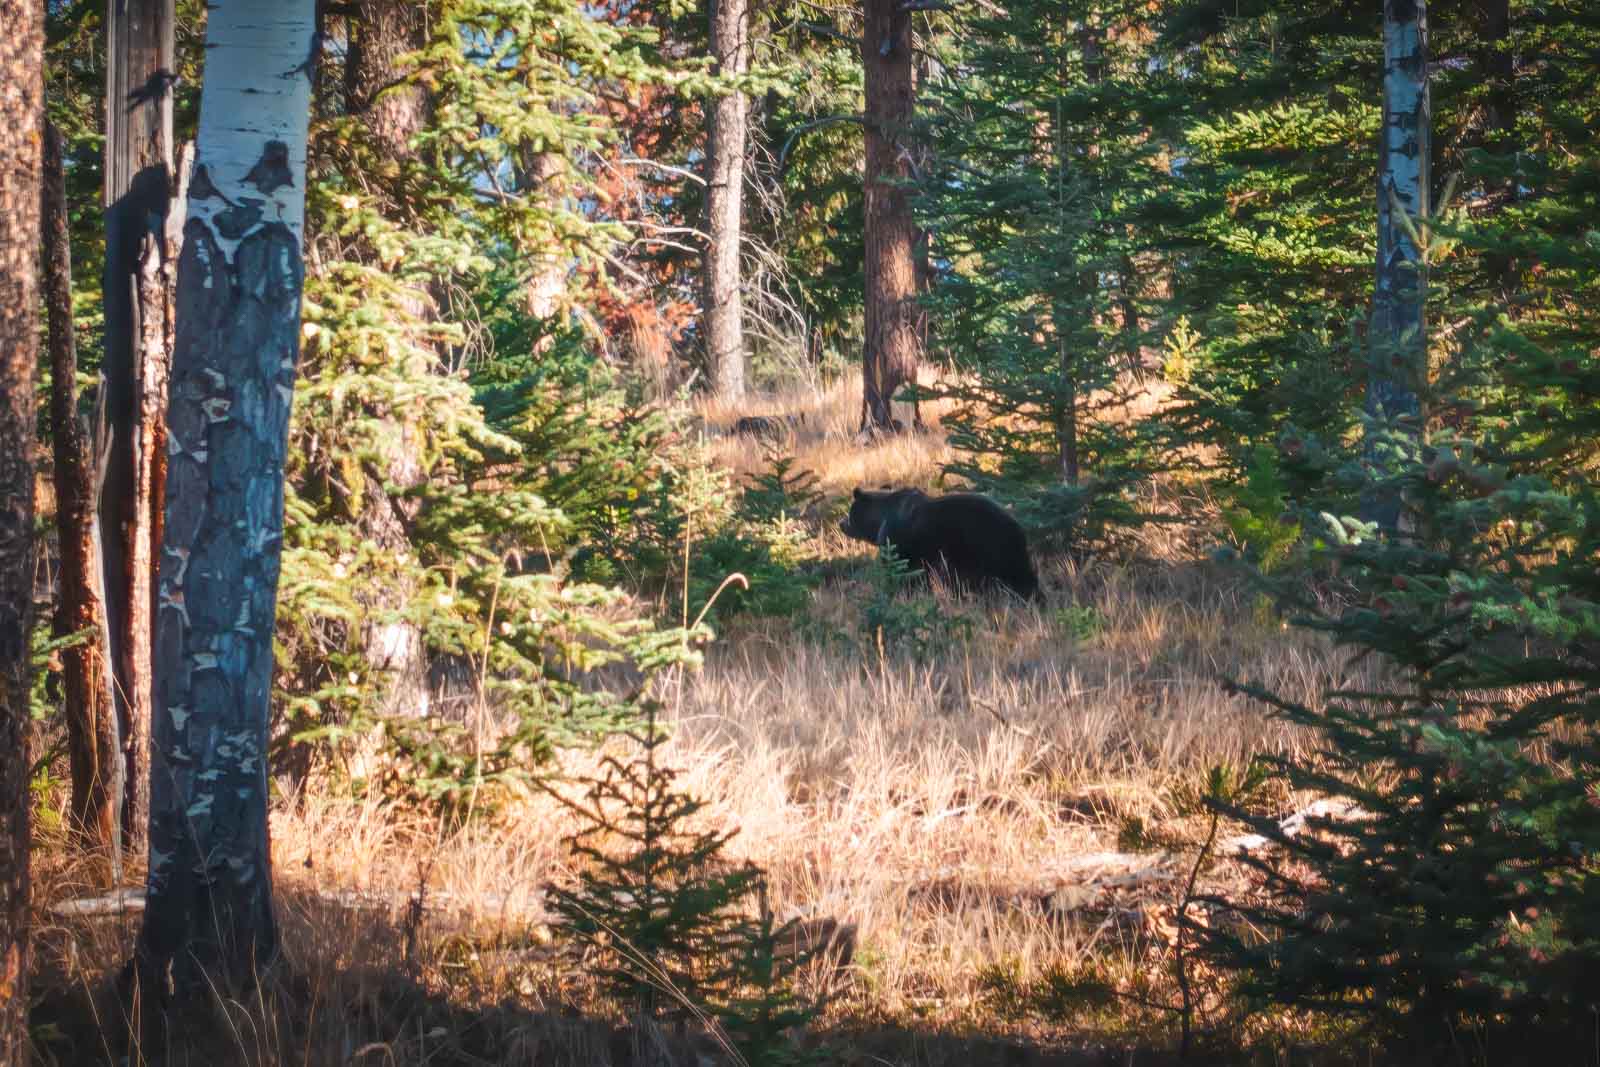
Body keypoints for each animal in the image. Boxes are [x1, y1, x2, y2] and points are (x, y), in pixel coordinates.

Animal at [839, 487, 1042, 602]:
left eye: (850, 513)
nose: (841, 523)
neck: (879, 520)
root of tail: (1017, 525)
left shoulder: (897, 542)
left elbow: (904, 575)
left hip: (989, 545)